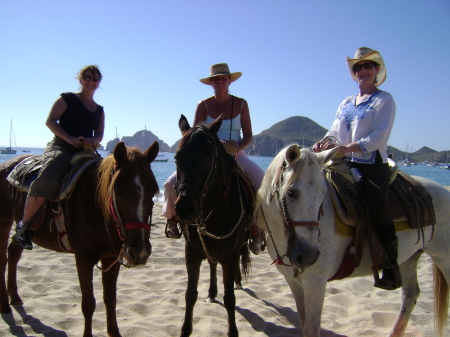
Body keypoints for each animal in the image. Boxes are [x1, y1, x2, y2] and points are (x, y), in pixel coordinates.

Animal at [0, 141, 160, 336]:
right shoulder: (83, 259)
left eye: (153, 191)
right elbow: (88, 304)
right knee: (3, 259)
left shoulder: (111, 259)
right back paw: (4, 306)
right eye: (119, 191)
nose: (140, 252)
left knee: (13, 254)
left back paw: (15, 297)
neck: (94, 207)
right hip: (3, 221)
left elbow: (110, 299)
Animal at [175, 114, 253, 334]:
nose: (185, 208)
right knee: (211, 263)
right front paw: (185, 329)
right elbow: (190, 294)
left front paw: (233, 331)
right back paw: (211, 292)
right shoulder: (191, 252)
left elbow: (230, 298)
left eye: (209, 159)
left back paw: (237, 281)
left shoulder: (230, 255)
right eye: (177, 158)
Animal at [255, 144, 448, 336]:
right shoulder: (293, 281)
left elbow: (311, 328)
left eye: (323, 193)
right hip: (409, 259)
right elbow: (303, 322)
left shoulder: (315, 283)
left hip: (443, 258)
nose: (308, 255)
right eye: (291, 193)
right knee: (410, 295)